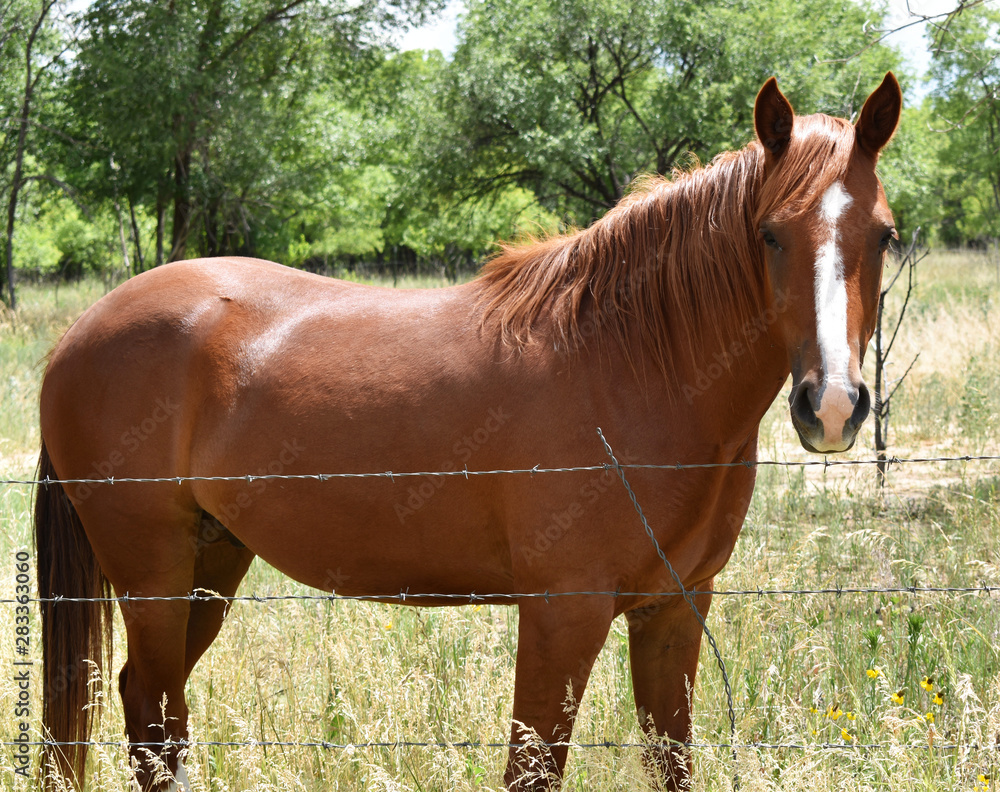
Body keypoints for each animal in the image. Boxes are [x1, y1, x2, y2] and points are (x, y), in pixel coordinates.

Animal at [34, 73, 901, 791]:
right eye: (769, 233)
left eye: (885, 235)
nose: (832, 405)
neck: (628, 361)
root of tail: (82, 332)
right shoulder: (562, 614)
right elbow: (532, 768)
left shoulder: (674, 611)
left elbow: (672, 759)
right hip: (153, 572)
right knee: (151, 714)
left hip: (212, 561)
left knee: (153, 708)